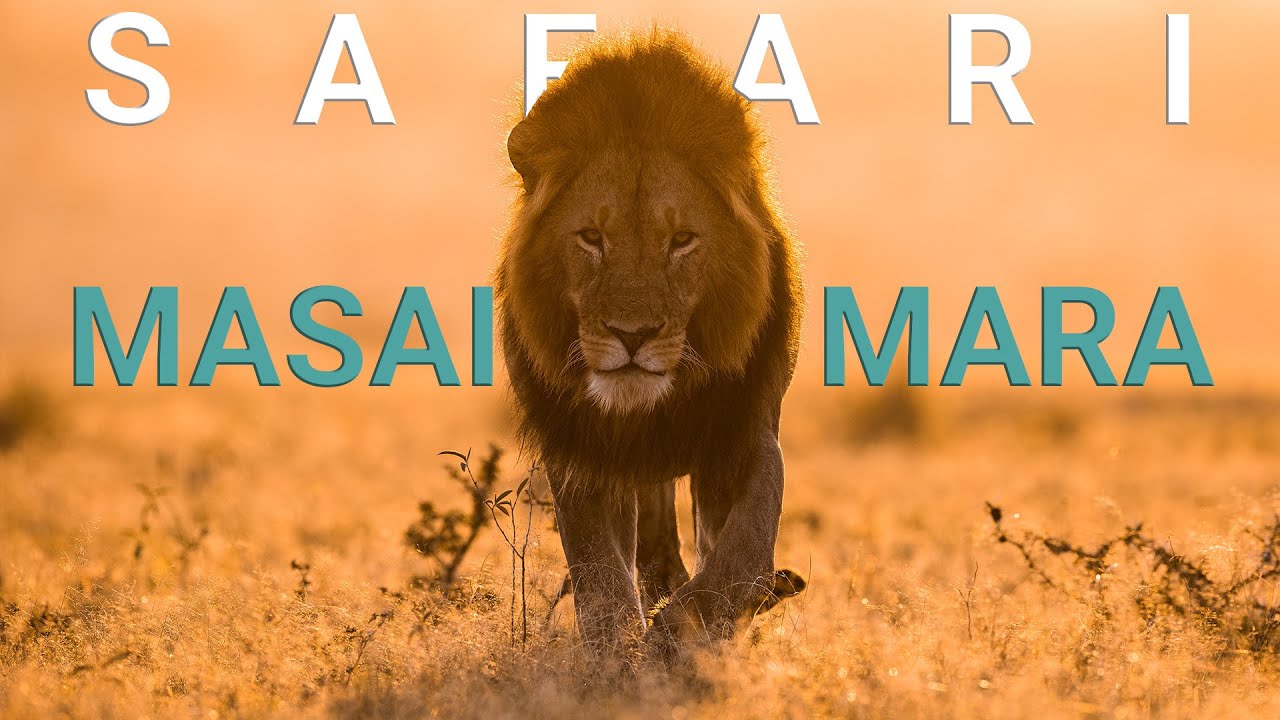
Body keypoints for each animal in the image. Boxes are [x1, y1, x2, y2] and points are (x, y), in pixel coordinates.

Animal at [494, 28, 804, 654]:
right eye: (591, 238)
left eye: (681, 240)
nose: (631, 336)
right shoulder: (581, 449)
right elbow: (597, 564)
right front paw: (619, 650)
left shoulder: (746, 428)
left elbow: (744, 548)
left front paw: (688, 627)